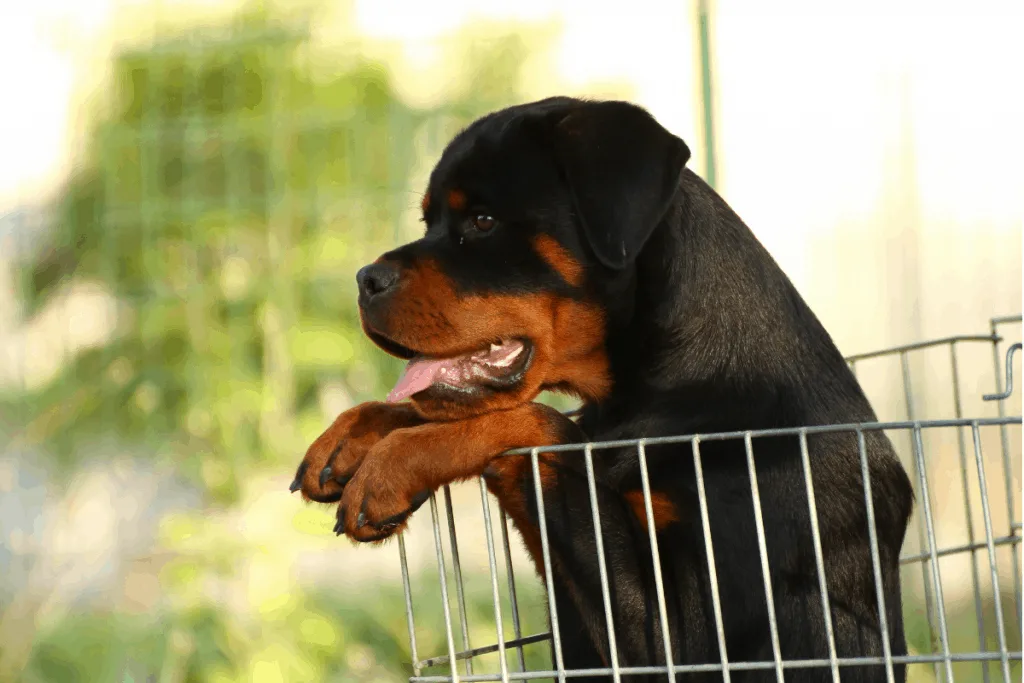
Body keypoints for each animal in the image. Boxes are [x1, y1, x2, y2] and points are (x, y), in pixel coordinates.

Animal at [292, 97, 917, 683]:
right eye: (428, 223)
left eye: (484, 220)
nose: (365, 280)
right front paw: (354, 432)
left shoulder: (696, 642)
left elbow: (541, 423)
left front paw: (392, 464)